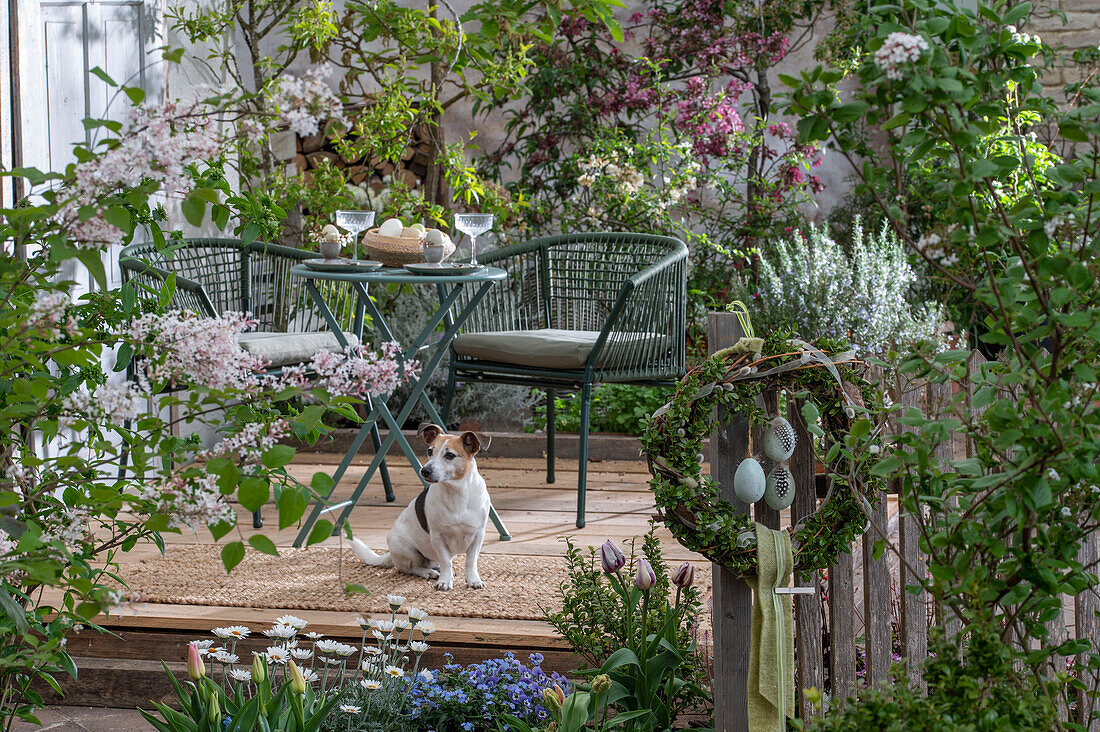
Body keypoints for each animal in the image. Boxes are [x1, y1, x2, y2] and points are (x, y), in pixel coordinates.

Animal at [352, 422, 490, 590]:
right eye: (430, 451)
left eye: (450, 455)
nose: (425, 470)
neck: (457, 493)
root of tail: (391, 554)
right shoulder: (438, 536)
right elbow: (446, 561)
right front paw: (444, 581)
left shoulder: (478, 535)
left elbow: (470, 561)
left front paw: (473, 580)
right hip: (407, 549)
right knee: (412, 568)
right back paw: (429, 572)